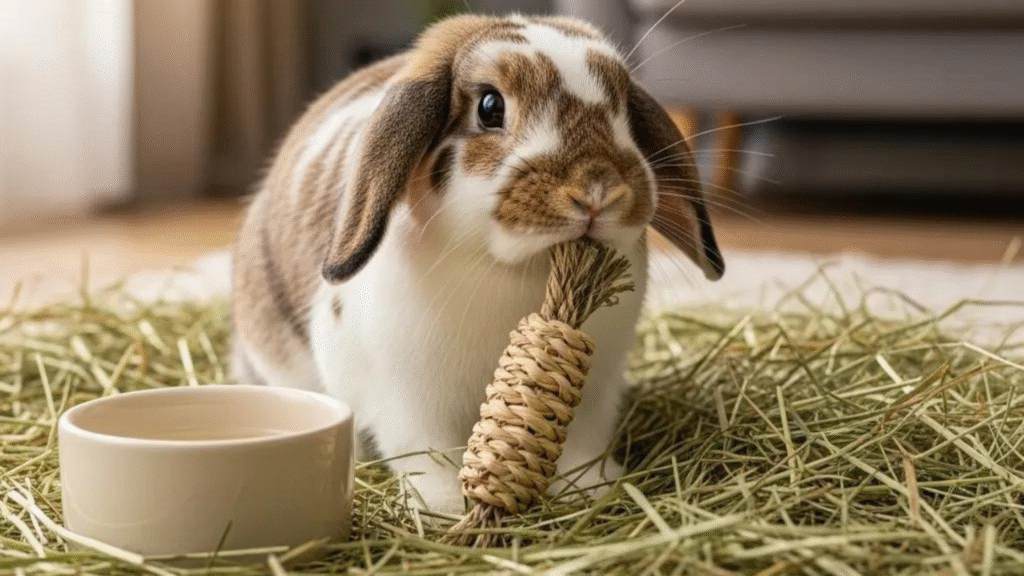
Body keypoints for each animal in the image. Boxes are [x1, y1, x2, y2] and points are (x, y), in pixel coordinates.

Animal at [231, 13, 724, 514]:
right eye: (490, 107)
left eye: (623, 107)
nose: (598, 191)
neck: (520, 270)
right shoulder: (409, 400)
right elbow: (426, 453)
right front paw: (445, 506)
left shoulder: (593, 395)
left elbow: (581, 447)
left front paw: (595, 488)